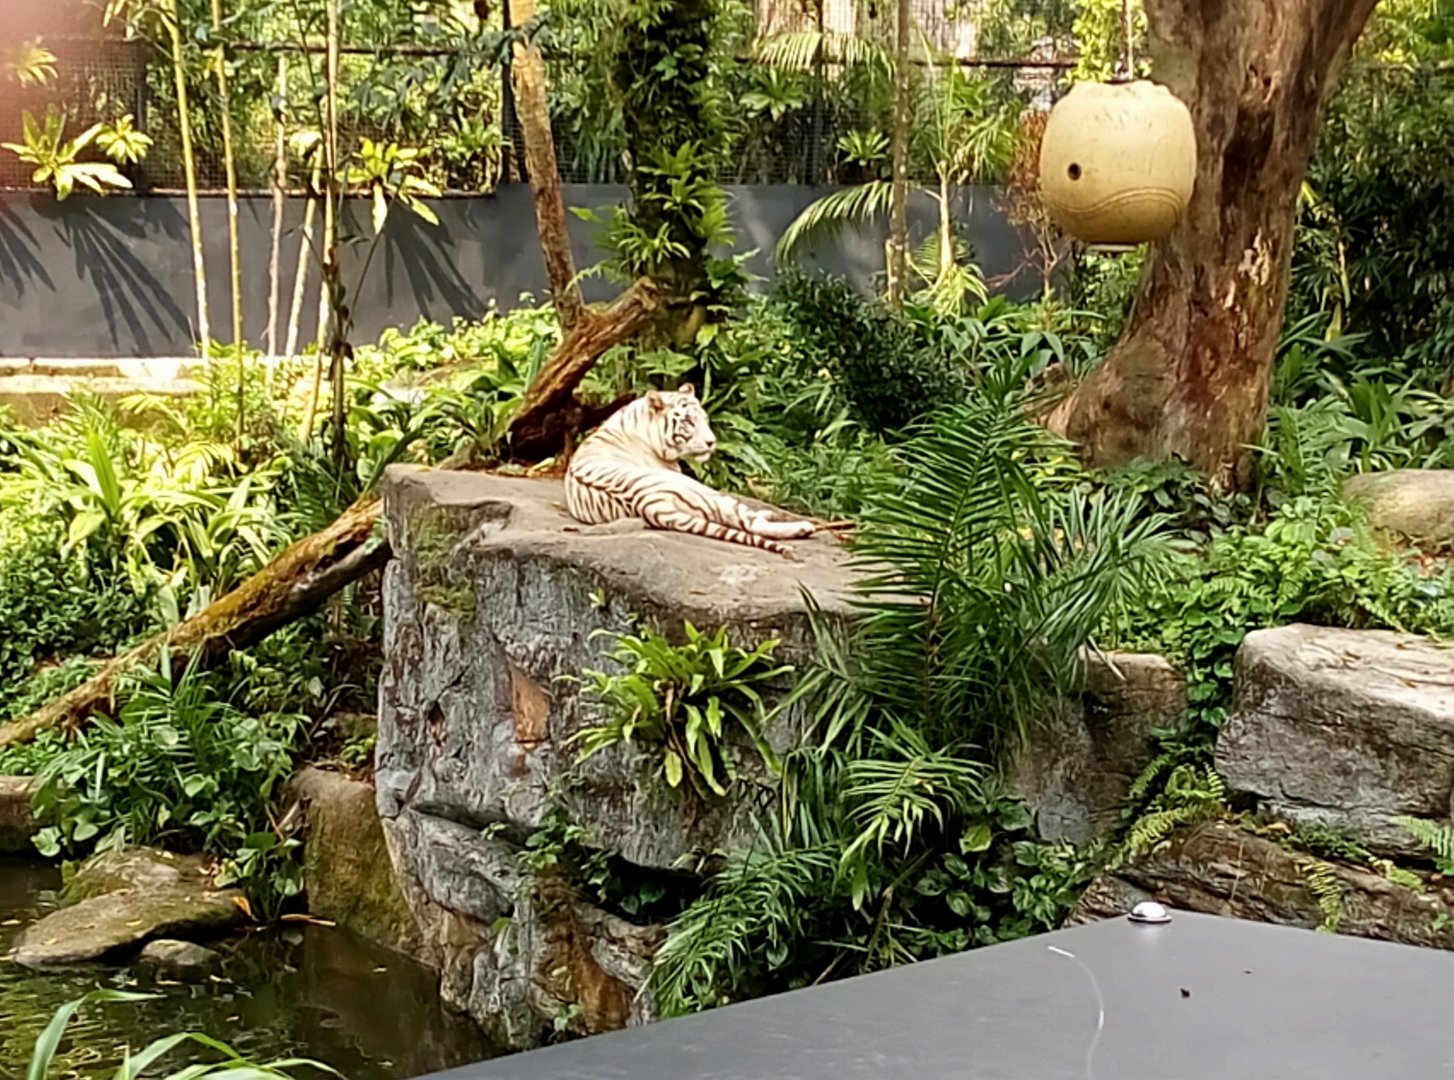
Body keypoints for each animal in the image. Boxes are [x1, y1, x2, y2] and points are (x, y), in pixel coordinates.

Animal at [564, 383, 818, 558]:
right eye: (687, 422)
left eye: (705, 419)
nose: (712, 442)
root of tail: (647, 503)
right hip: (706, 493)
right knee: (749, 522)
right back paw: (800, 526)